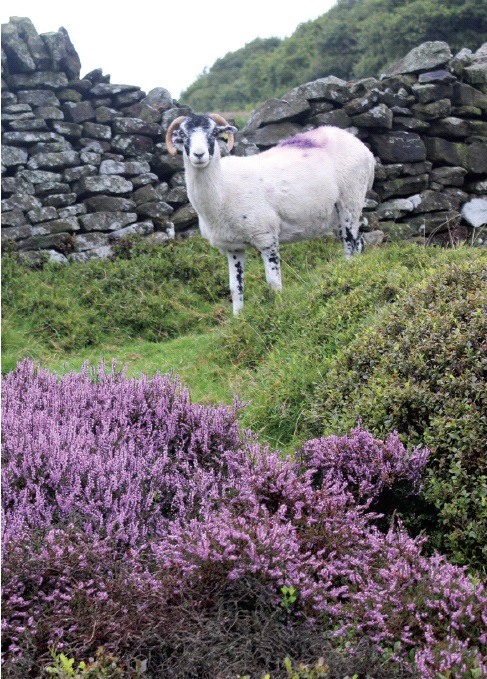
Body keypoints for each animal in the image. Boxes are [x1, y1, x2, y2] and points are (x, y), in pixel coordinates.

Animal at [166, 114, 376, 316]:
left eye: (213, 132)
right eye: (183, 134)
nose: (199, 155)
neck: (223, 187)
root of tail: (363, 148)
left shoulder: (266, 238)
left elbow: (274, 283)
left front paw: (278, 310)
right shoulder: (233, 248)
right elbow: (235, 287)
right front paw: (238, 318)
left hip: (350, 201)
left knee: (350, 246)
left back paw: (347, 273)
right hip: (337, 214)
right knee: (359, 243)